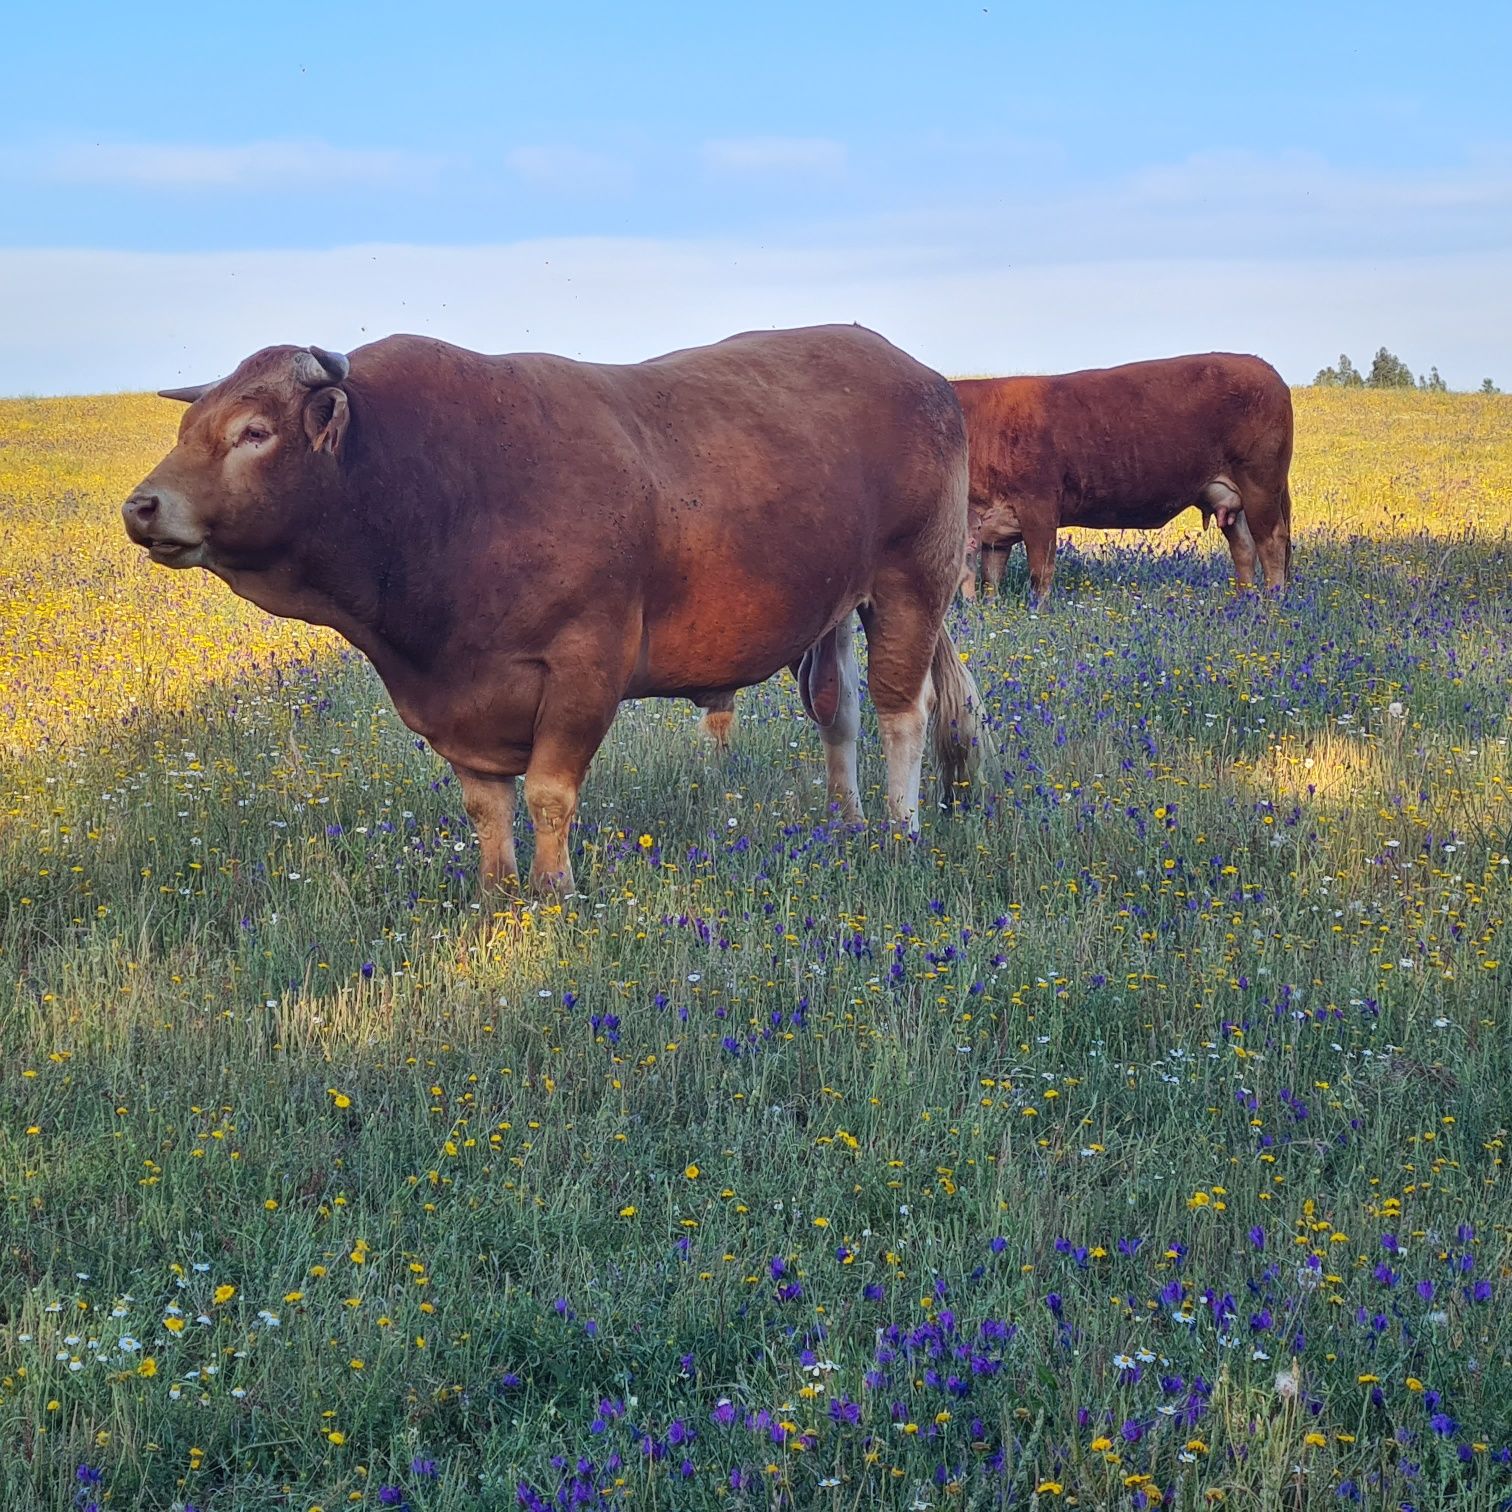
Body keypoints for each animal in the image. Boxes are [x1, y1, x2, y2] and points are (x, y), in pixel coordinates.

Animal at [120, 328, 991, 895]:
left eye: (254, 431)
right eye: (188, 427)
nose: (141, 506)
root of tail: (916, 370)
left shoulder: (584, 664)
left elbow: (547, 791)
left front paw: (555, 889)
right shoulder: (452, 696)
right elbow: (485, 804)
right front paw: (499, 892)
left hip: (911, 581)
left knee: (901, 709)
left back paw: (900, 828)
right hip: (833, 605)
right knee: (837, 711)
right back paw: (846, 820)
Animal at [955, 353, 1288, 607]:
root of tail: (1261, 366)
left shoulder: (1039, 508)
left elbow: (1041, 570)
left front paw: (1038, 609)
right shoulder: (994, 527)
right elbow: (990, 577)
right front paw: (988, 608)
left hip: (1261, 486)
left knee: (1271, 543)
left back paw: (1275, 601)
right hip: (1228, 499)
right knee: (1243, 547)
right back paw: (1244, 600)